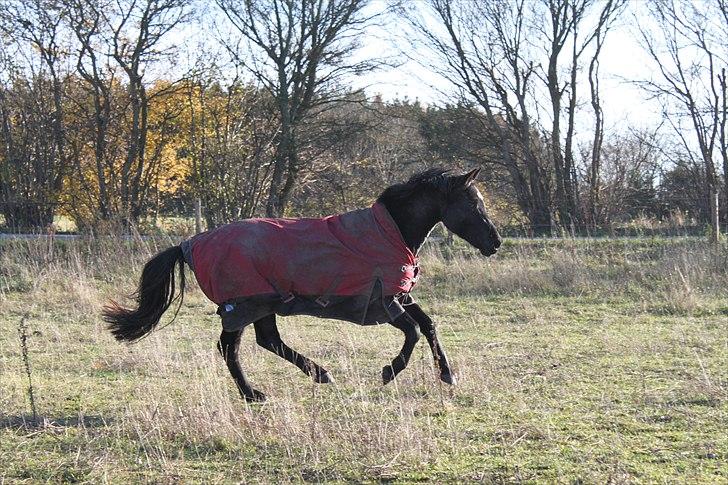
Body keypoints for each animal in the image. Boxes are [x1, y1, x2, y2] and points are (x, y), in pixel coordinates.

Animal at [102, 168, 500, 402]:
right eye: (472, 204)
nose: (494, 243)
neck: (390, 232)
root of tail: (190, 242)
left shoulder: (401, 296)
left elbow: (429, 325)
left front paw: (447, 375)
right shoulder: (384, 302)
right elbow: (413, 333)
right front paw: (388, 373)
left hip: (265, 303)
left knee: (268, 341)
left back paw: (319, 374)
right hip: (245, 304)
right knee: (231, 348)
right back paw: (254, 394)